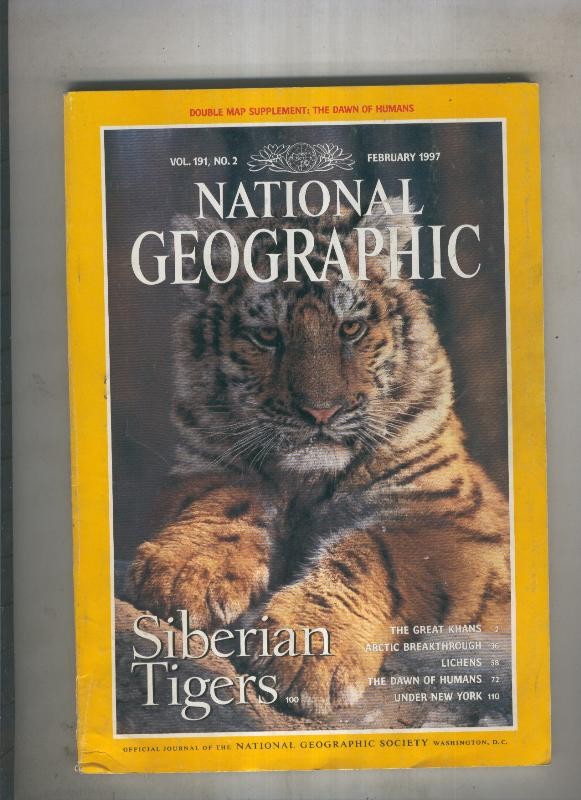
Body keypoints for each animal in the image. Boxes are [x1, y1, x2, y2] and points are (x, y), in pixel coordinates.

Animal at [126, 202, 511, 718]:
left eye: (350, 328)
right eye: (267, 335)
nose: (320, 411)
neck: (308, 481)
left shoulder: (454, 519)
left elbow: (374, 550)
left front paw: (308, 647)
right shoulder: (203, 463)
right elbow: (224, 497)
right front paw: (184, 573)